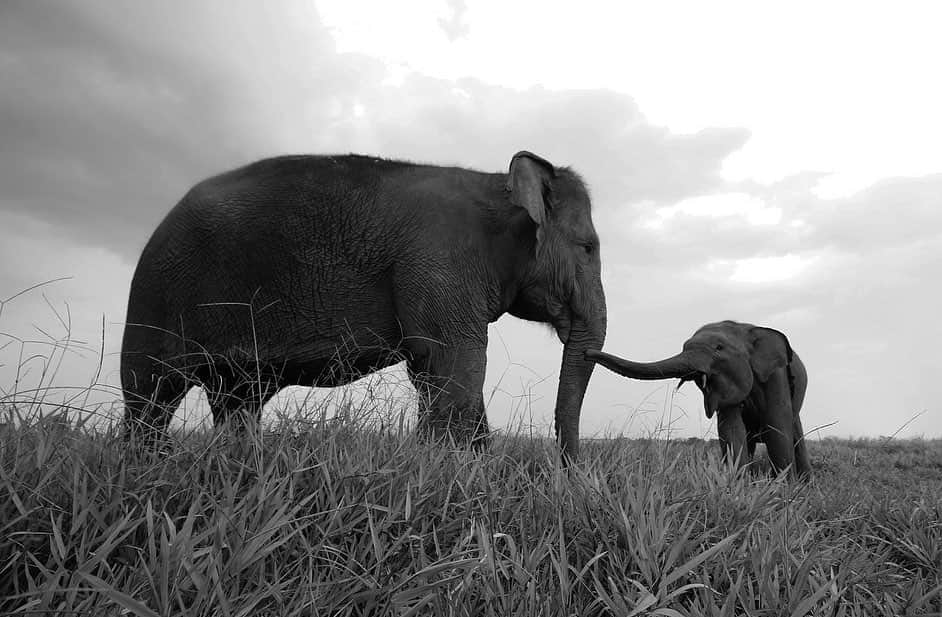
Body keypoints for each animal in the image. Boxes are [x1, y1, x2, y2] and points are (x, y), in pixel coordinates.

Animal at [121, 149, 608, 458]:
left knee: (237, 402)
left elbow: (432, 373)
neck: (498, 184)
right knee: (149, 396)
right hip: (157, 295)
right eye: (588, 248)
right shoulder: (439, 266)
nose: (569, 473)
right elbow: (455, 366)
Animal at [588, 320, 808, 478]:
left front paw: (784, 490)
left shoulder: (776, 376)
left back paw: (804, 481)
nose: (587, 352)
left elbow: (777, 428)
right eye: (684, 346)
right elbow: (732, 431)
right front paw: (739, 485)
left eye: (719, 347)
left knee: (796, 436)